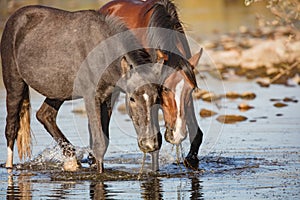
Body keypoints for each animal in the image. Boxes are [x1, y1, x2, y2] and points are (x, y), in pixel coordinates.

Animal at [0, 5, 164, 173]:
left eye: (158, 98)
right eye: (132, 99)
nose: (150, 143)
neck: (103, 52)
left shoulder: (107, 98)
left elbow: (102, 142)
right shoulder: (91, 97)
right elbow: (99, 144)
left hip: (58, 91)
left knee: (45, 115)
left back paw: (71, 160)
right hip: (14, 85)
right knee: (11, 127)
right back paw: (9, 167)